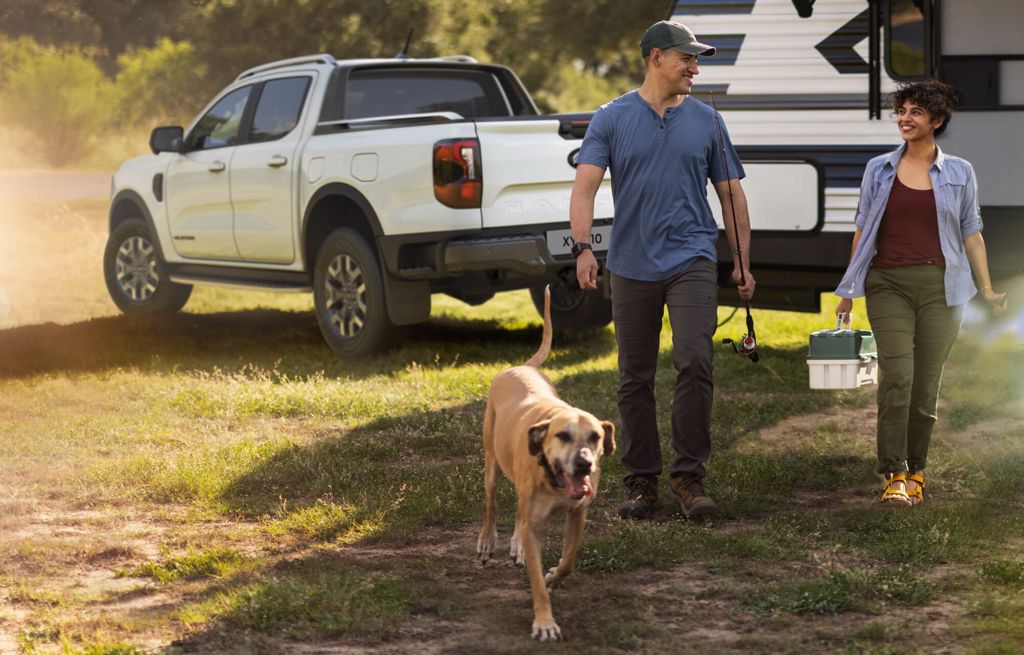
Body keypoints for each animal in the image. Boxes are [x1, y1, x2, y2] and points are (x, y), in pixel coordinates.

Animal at [475, 284, 610, 638]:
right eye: (562, 435)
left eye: (595, 437)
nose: (584, 464)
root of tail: (522, 366)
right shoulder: (533, 516)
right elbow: (535, 580)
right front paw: (545, 622)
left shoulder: (578, 514)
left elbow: (569, 560)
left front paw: (553, 576)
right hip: (492, 463)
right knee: (491, 503)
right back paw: (488, 541)